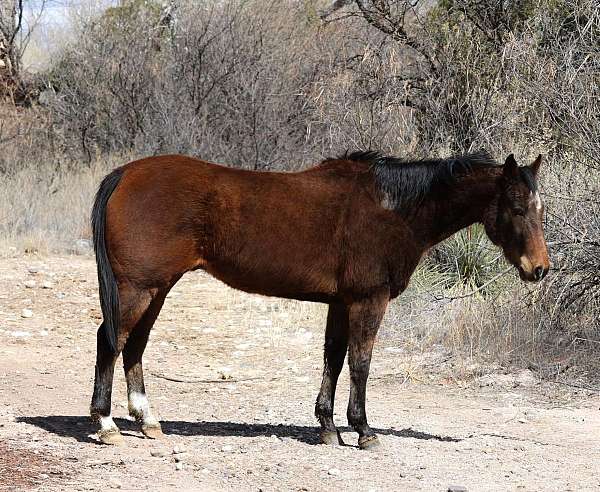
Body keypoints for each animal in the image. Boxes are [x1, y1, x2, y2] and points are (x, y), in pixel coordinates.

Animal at [88, 152, 548, 448]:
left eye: (539, 209)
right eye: (517, 208)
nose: (540, 268)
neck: (393, 210)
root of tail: (125, 173)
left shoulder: (341, 303)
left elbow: (334, 358)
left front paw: (327, 427)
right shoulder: (367, 300)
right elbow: (360, 363)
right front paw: (363, 431)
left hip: (158, 289)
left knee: (135, 345)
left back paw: (147, 421)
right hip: (138, 288)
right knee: (110, 342)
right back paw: (107, 425)